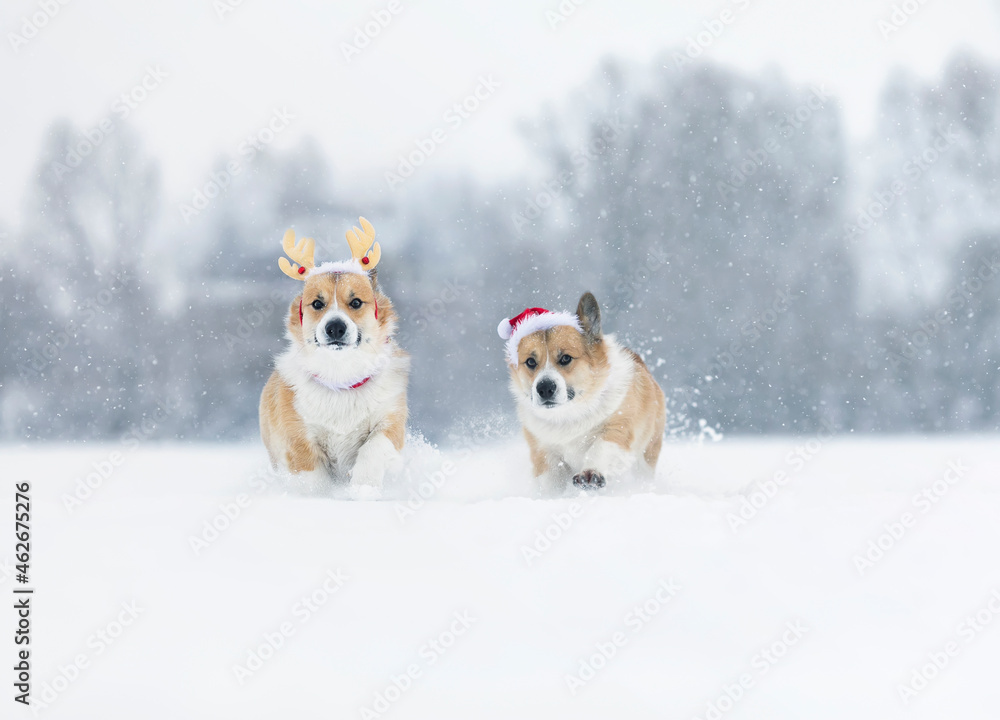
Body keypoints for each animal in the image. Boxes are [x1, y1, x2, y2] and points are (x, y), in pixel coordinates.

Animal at [262, 218, 414, 500]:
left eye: (355, 302)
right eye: (317, 304)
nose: (335, 328)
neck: (341, 377)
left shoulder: (391, 421)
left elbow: (374, 448)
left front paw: (363, 488)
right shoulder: (298, 437)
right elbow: (311, 474)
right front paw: (321, 496)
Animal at [498, 294, 668, 496]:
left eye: (565, 358)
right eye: (531, 362)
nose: (544, 388)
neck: (569, 413)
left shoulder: (619, 427)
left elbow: (600, 448)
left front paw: (590, 473)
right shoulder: (542, 449)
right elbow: (550, 478)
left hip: (647, 454)